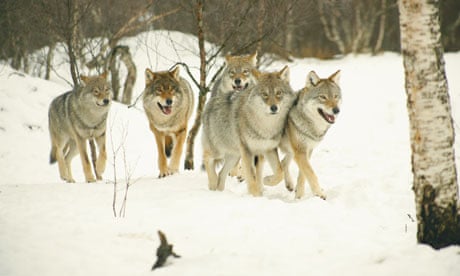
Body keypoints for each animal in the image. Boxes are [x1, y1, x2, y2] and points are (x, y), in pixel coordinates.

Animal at [203, 66, 296, 196]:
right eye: (264, 94)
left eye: (279, 93)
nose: (273, 108)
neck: (265, 126)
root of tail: (212, 100)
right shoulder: (248, 151)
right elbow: (252, 179)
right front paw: (256, 196)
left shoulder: (268, 149)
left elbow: (279, 172)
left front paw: (266, 181)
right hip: (218, 151)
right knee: (207, 159)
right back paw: (212, 183)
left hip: (234, 156)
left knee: (221, 173)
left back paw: (219, 191)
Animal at [274, 70, 342, 199]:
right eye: (323, 97)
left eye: (336, 96)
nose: (337, 110)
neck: (311, 127)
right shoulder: (300, 151)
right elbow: (311, 173)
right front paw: (319, 194)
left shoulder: (307, 150)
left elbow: (303, 175)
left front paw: (299, 196)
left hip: (291, 150)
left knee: (283, 163)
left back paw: (289, 185)